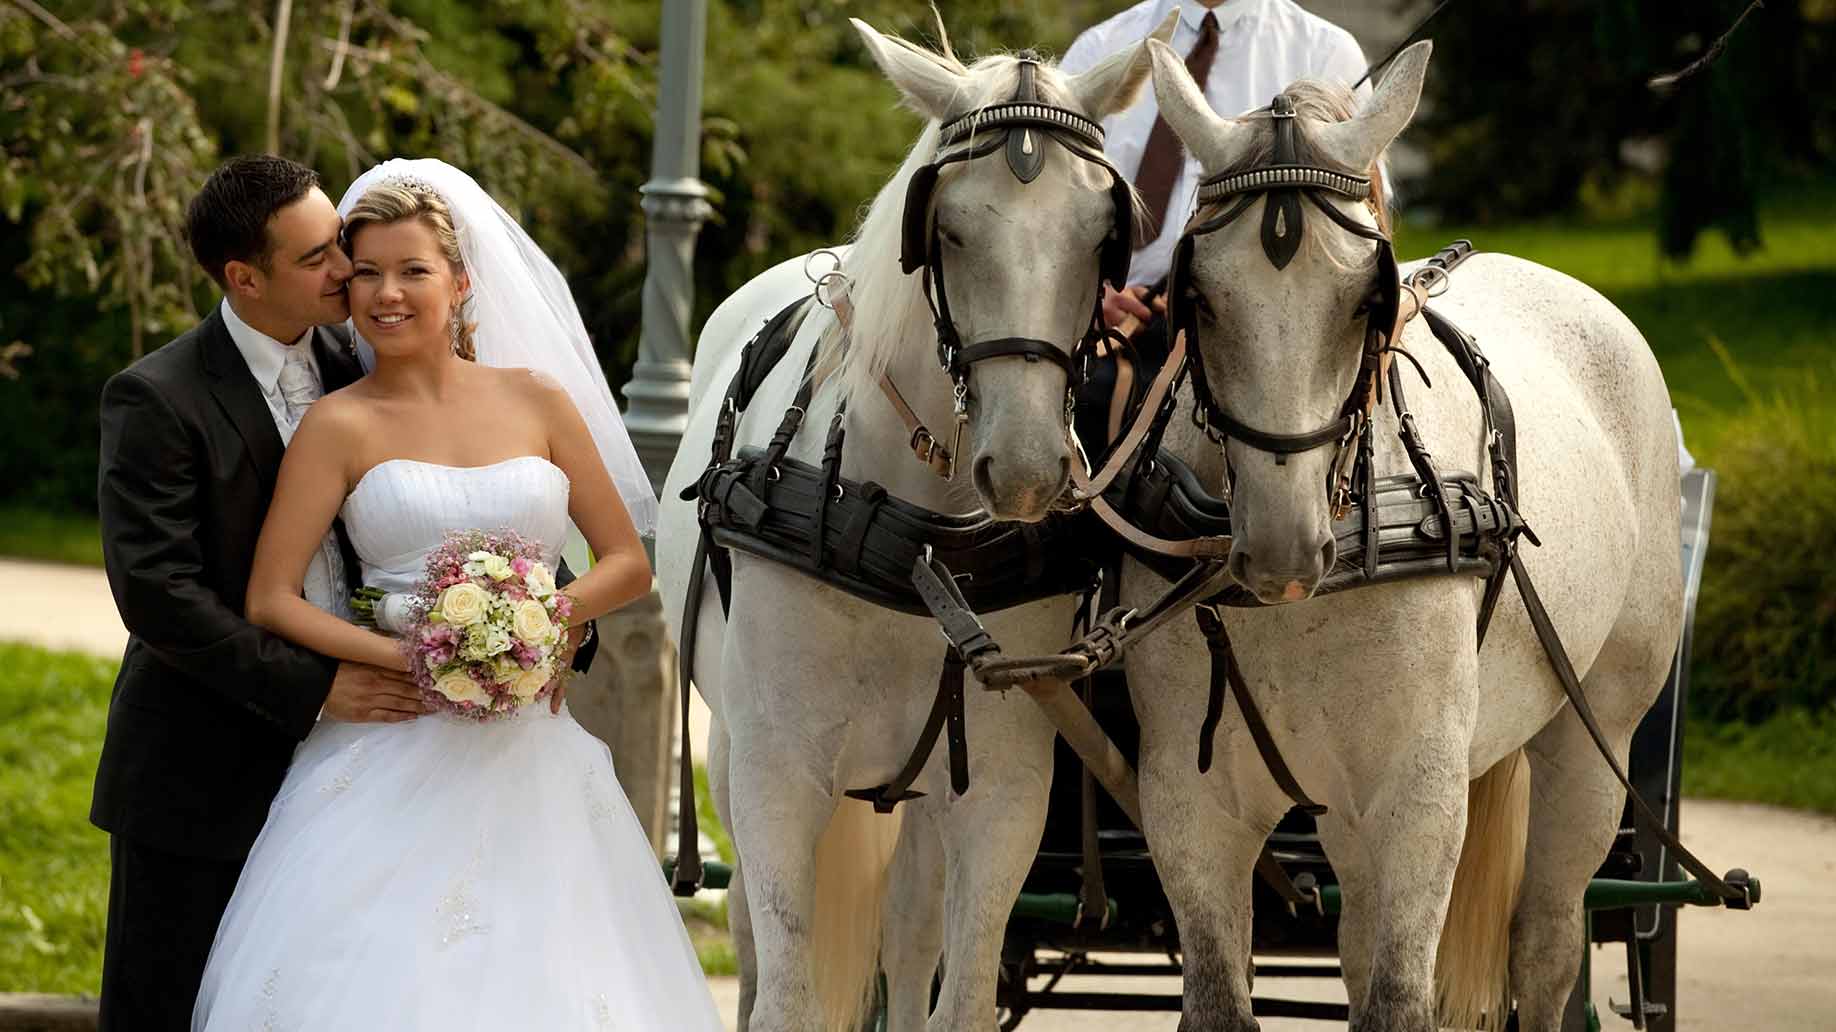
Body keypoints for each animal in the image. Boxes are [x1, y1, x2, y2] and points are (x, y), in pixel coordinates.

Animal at [660, 18, 1167, 1028]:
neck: (915, 547)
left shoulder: (1003, 793)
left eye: (1103, 236)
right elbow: (786, 995)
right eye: (949, 229)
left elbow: (957, 995)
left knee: (908, 935)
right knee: (753, 932)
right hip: (735, 755)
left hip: (928, 786)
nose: (1026, 470)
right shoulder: (776, 776)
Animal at [1108, 42, 1681, 1028]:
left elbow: (1399, 999)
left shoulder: (1419, 801)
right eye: (1201, 300)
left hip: (1594, 733)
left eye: (1363, 300)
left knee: (1546, 948)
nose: (1284, 549)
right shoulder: (1190, 803)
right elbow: (1222, 997)